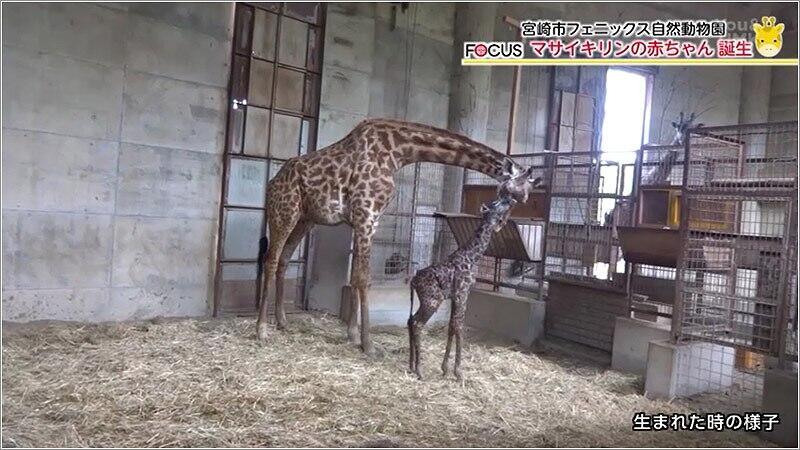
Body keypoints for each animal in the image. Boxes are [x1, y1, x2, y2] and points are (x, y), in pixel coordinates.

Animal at [260, 115, 540, 352]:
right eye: (519, 193)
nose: (502, 220)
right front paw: (368, 345)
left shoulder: (368, 220)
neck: (397, 152)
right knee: (270, 259)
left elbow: (355, 276)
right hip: (284, 213)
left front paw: (352, 335)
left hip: (305, 219)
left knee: (284, 259)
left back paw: (282, 322)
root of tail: (271, 184)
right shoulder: (366, 215)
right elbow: (364, 279)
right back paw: (261, 330)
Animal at [412, 192, 520, 382]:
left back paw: (411, 365)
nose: (511, 198)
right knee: (417, 324)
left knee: (411, 320)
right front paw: (458, 372)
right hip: (432, 301)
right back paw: (419, 371)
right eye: (497, 202)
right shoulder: (463, 293)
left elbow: (451, 327)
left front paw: (445, 369)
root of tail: (413, 281)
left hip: (426, 301)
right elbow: (459, 327)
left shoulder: (455, 297)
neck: (471, 257)